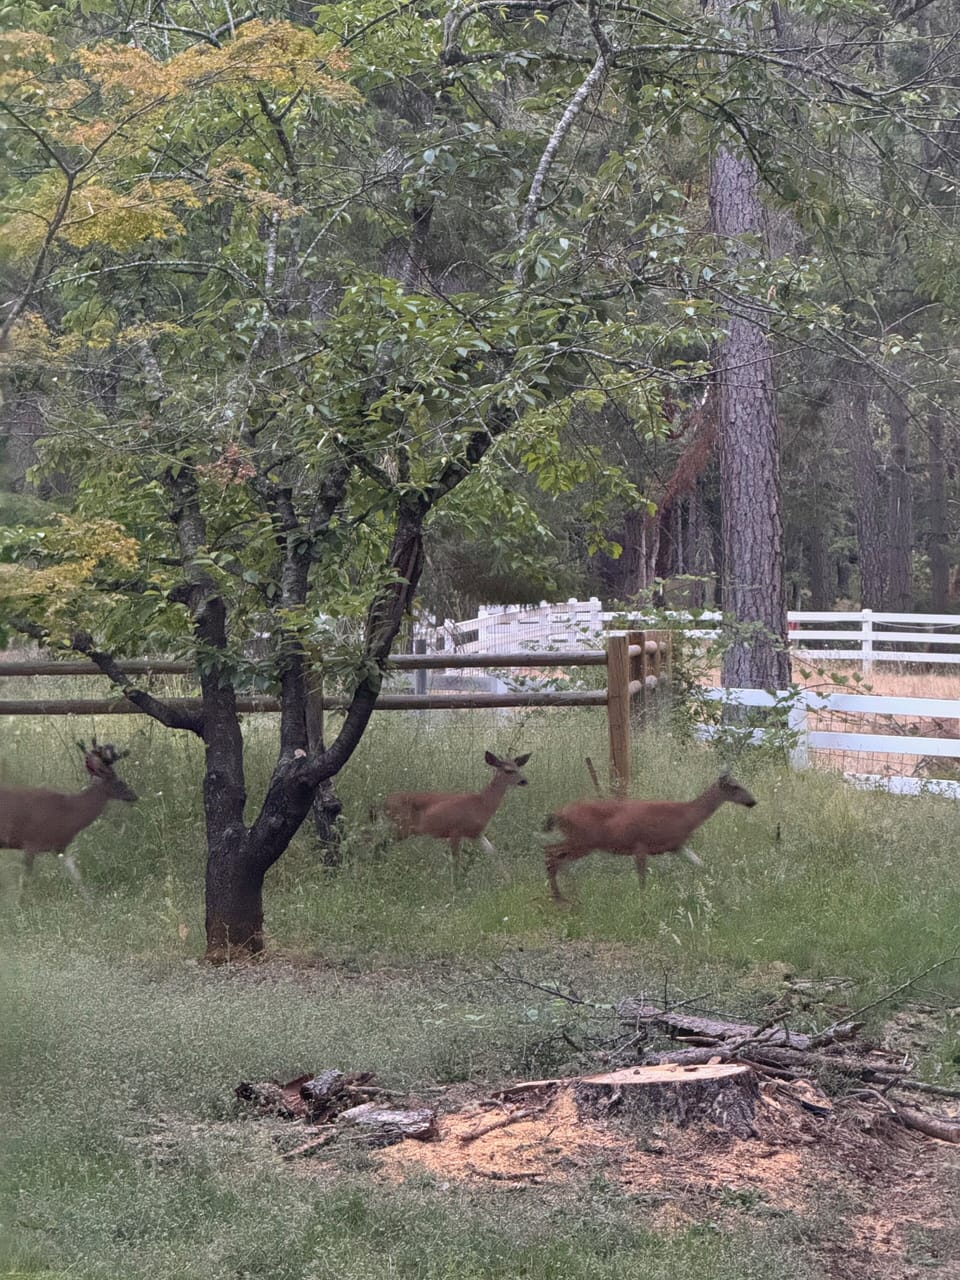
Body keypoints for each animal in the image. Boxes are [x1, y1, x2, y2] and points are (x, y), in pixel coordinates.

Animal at [0, 740, 137, 898]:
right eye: (119, 781)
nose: (134, 795)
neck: (69, 812)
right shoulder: (31, 842)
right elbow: (25, 881)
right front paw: (21, 902)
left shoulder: (60, 847)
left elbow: (77, 878)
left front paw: (92, 900)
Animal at [384, 750, 531, 874]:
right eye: (508, 770)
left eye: (518, 768)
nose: (524, 781)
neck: (482, 803)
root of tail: (384, 801)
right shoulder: (455, 830)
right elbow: (456, 863)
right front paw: (457, 887)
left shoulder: (476, 833)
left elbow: (493, 853)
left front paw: (508, 880)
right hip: (402, 826)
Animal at [543, 772, 756, 903]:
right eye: (735, 787)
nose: (753, 801)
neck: (685, 815)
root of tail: (559, 813)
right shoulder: (641, 844)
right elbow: (642, 878)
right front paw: (643, 900)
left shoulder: (676, 846)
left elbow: (701, 865)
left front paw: (720, 895)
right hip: (584, 840)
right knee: (552, 853)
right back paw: (563, 895)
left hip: (580, 841)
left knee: (554, 855)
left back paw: (564, 893)